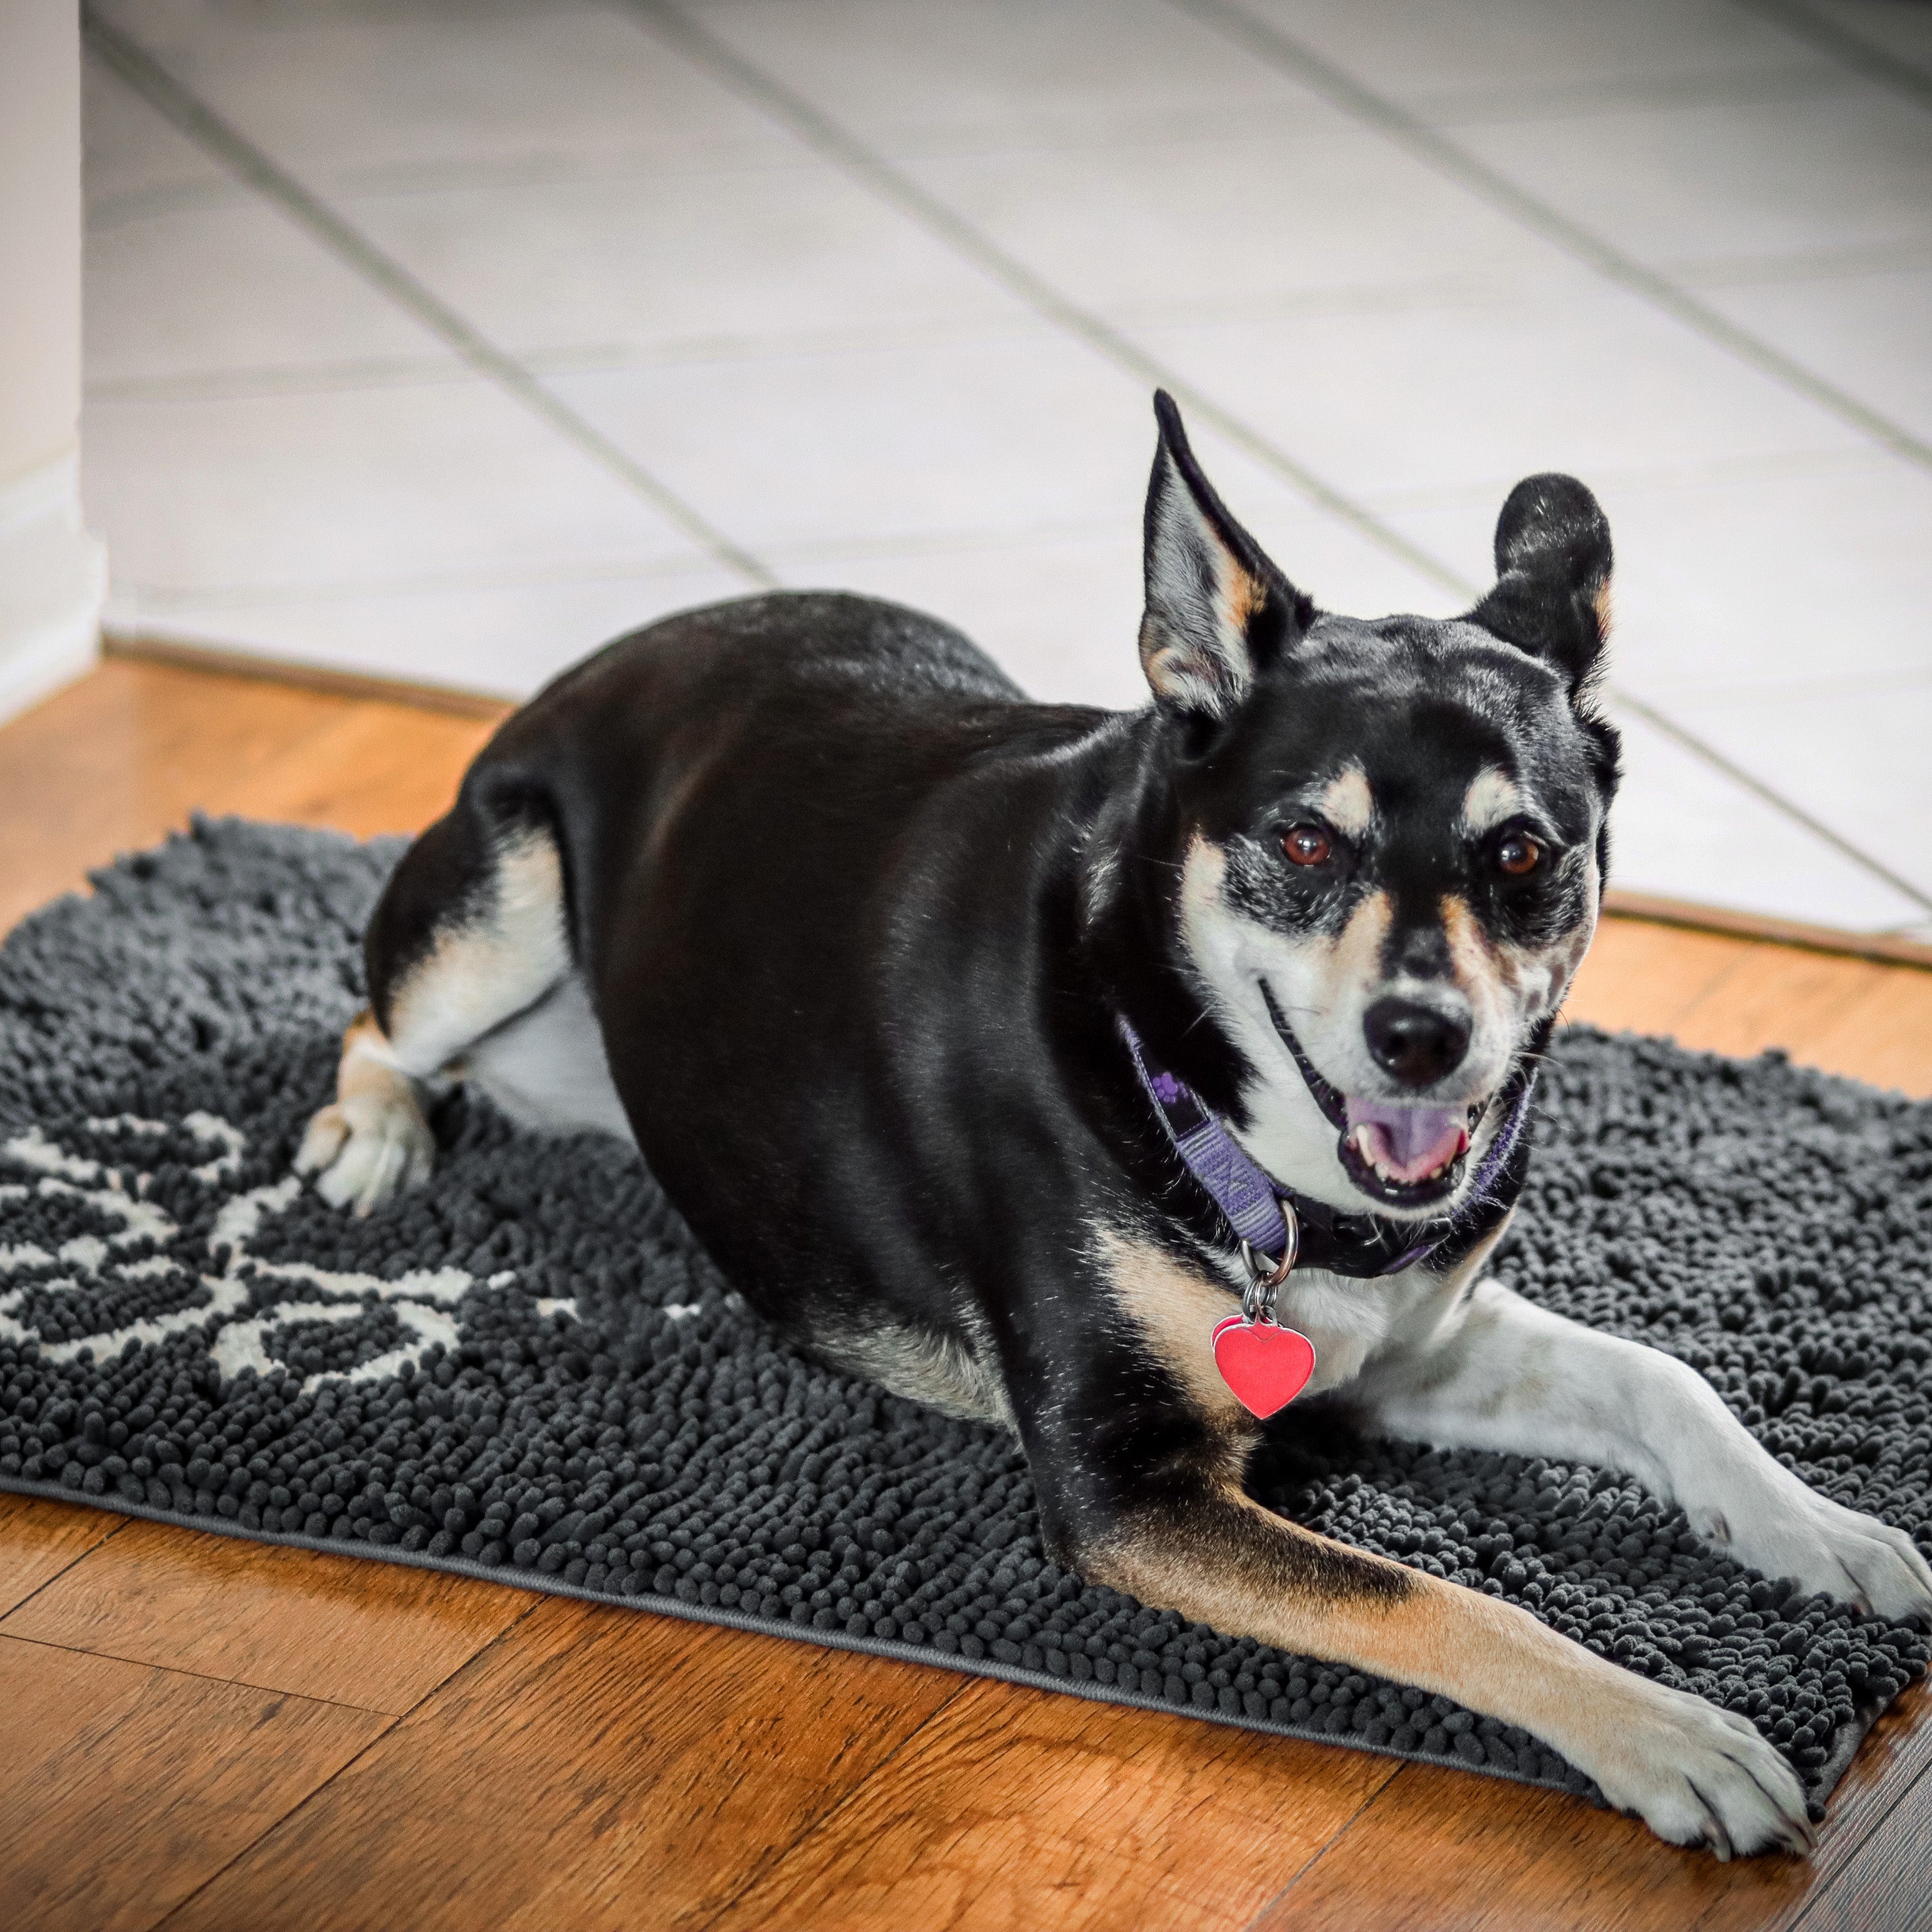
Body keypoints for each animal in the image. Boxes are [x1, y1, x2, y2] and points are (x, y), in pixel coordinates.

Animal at [294, 392, 1924, 1855]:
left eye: (1523, 852)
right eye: (1304, 841)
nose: (1423, 1038)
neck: (1212, 1099)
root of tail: (620, 648)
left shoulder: (1410, 1346)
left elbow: (1664, 1381)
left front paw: (1826, 1534)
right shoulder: (1124, 1487)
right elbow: (1436, 1596)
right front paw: (1677, 1734)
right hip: (497, 906)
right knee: (374, 1020)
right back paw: (372, 1136)